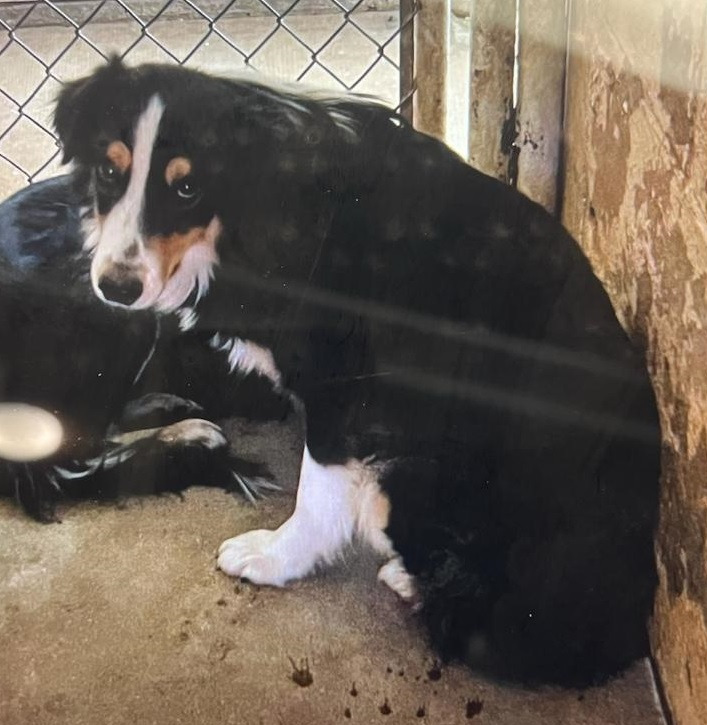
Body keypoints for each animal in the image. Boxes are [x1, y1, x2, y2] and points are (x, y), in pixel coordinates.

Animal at [51, 58, 664, 684]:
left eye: (187, 187)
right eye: (109, 171)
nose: (115, 288)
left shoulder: (346, 387)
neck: (264, 207)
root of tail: (623, 628)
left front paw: (274, 557)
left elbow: (316, 492)